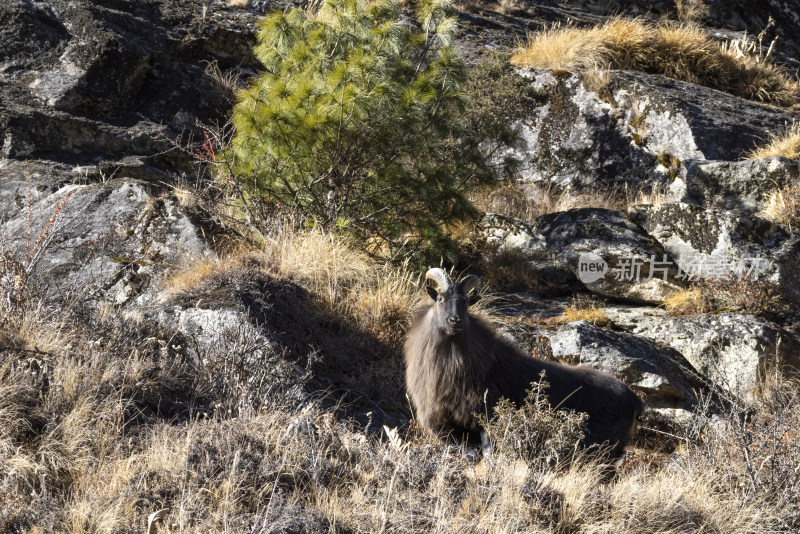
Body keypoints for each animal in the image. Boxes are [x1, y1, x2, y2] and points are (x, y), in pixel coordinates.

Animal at [406, 270, 644, 462]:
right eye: (440, 298)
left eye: (466, 302)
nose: (455, 321)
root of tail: (634, 401)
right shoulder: (452, 430)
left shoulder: (487, 421)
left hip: (604, 452)